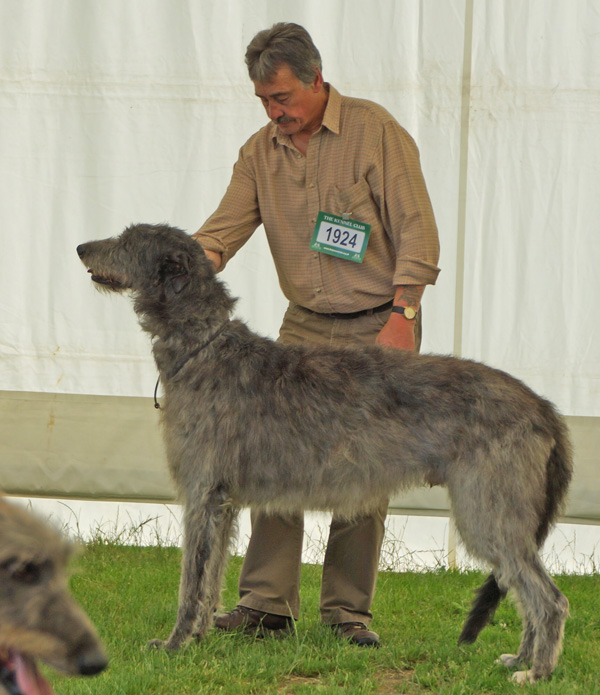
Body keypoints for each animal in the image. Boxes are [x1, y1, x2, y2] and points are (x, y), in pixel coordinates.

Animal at [78, 224, 572, 684]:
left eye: (127, 241)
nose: (82, 248)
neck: (205, 347)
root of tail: (541, 406)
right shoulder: (223, 502)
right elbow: (211, 575)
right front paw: (198, 636)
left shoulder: (201, 495)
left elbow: (190, 580)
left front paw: (174, 643)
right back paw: (521, 659)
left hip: (487, 509)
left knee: (549, 598)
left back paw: (537, 672)